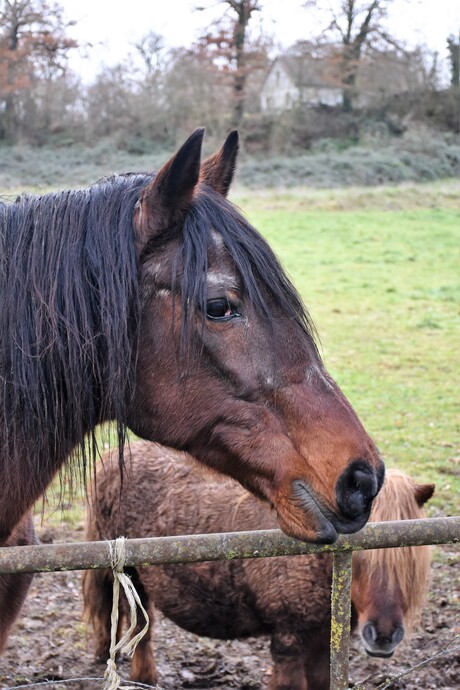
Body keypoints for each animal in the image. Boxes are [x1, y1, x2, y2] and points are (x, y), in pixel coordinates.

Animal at [83, 444, 434, 684]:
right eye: (362, 556)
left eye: (411, 555)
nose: (384, 634)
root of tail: (110, 458)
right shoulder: (289, 642)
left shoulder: (323, 641)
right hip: (129, 574)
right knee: (139, 627)